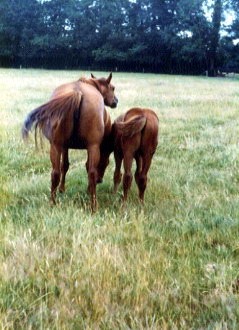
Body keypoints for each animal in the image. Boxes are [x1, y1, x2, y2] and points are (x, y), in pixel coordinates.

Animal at [22, 72, 117, 211]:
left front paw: (62, 189)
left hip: (56, 145)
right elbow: (75, 166)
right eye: (113, 88)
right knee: (91, 173)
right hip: (92, 146)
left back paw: (53, 202)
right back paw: (93, 205)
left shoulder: (64, 146)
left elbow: (65, 166)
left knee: (55, 173)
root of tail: (77, 93)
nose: (116, 101)